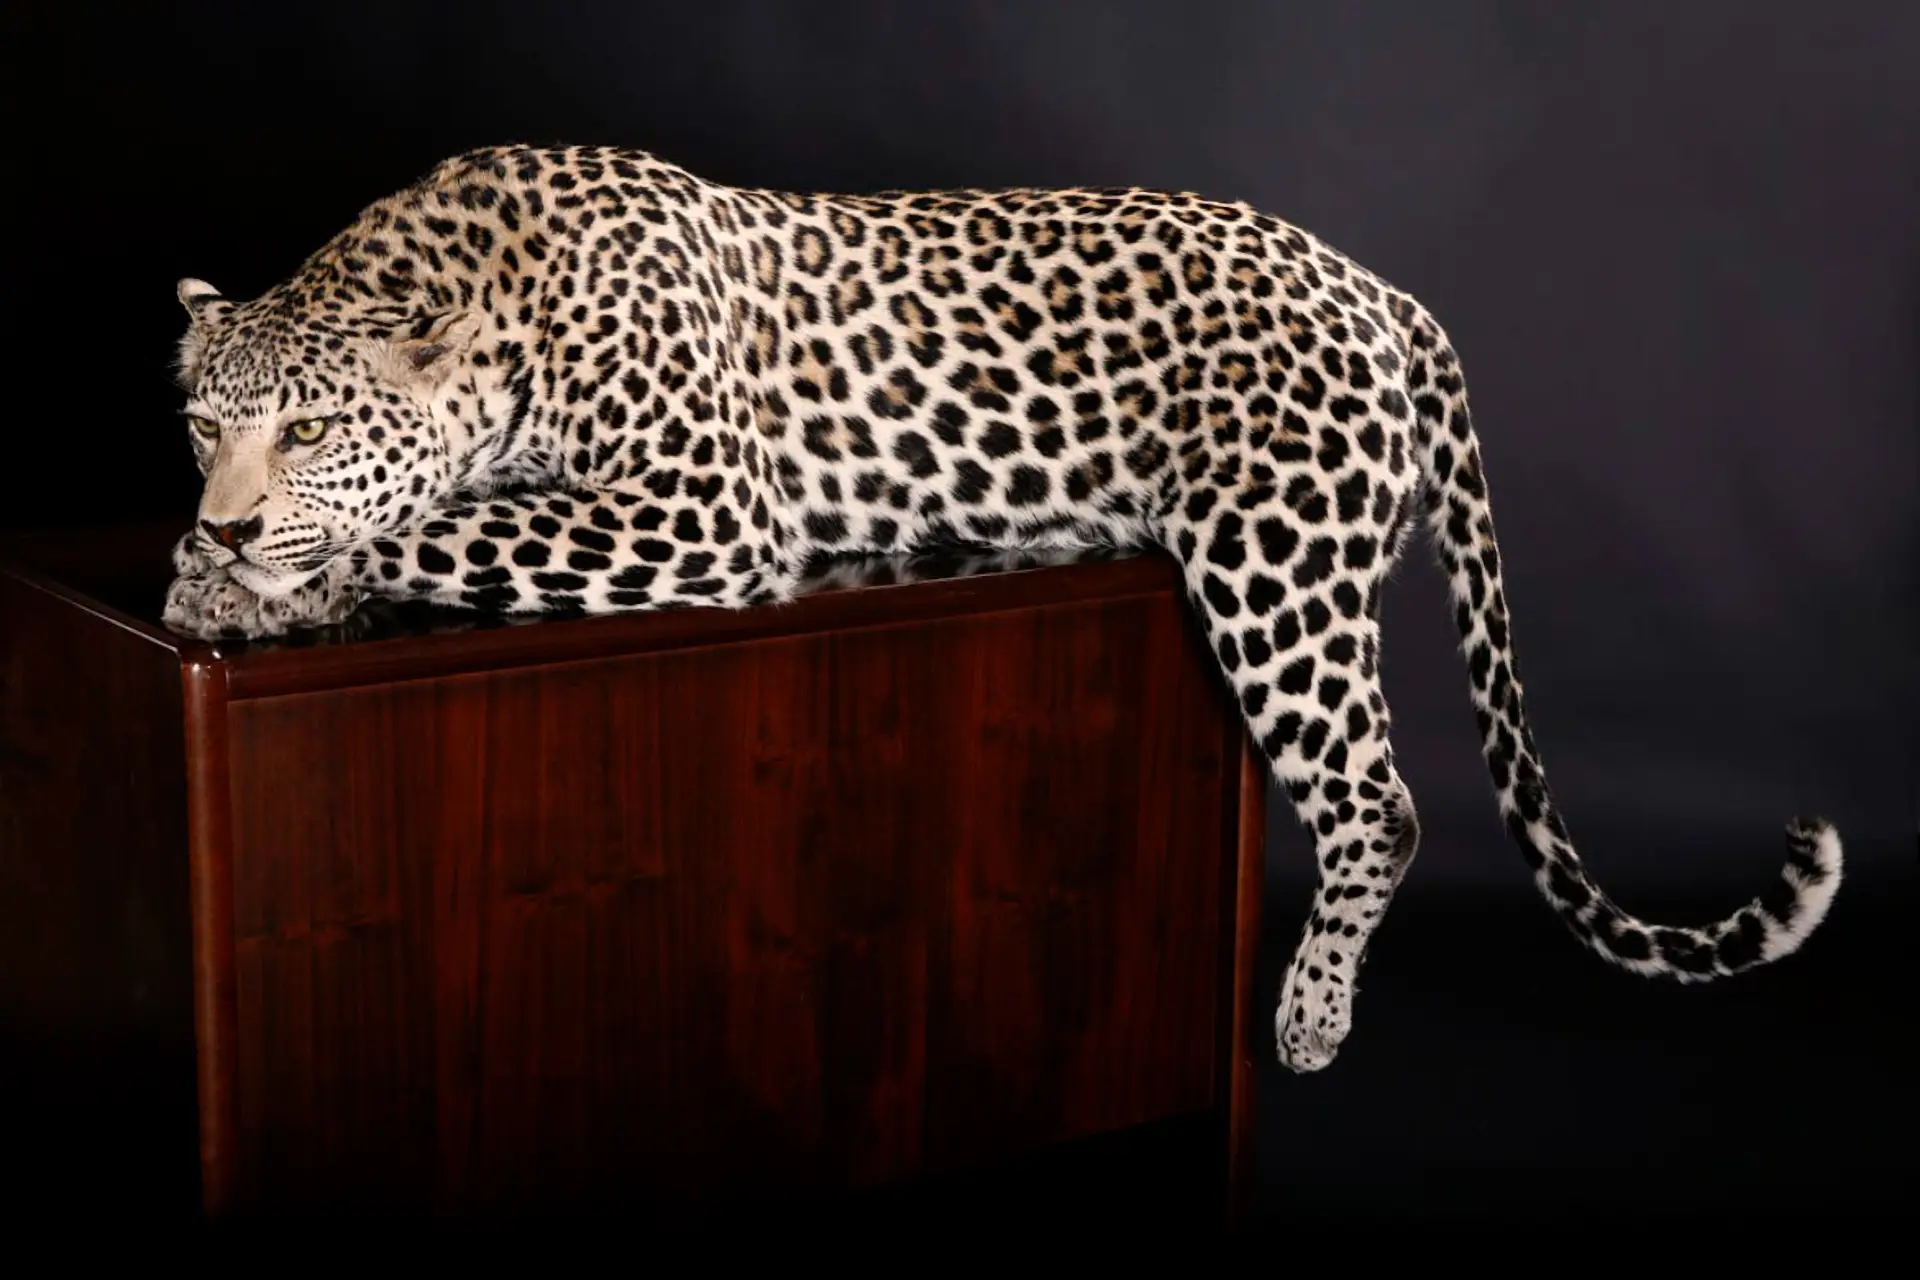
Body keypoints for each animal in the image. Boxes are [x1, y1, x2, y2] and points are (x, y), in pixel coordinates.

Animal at [163, 144, 1843, 1073]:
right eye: (199, 424)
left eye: (308, 428)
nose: (225, 512)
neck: (494, 292)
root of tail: (1383, 288)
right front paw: (219, 573)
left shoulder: (705, 514)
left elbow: (449, 526)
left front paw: (253, 580)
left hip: (1278, 573)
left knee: (1381, 800)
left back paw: (1309, 1016)